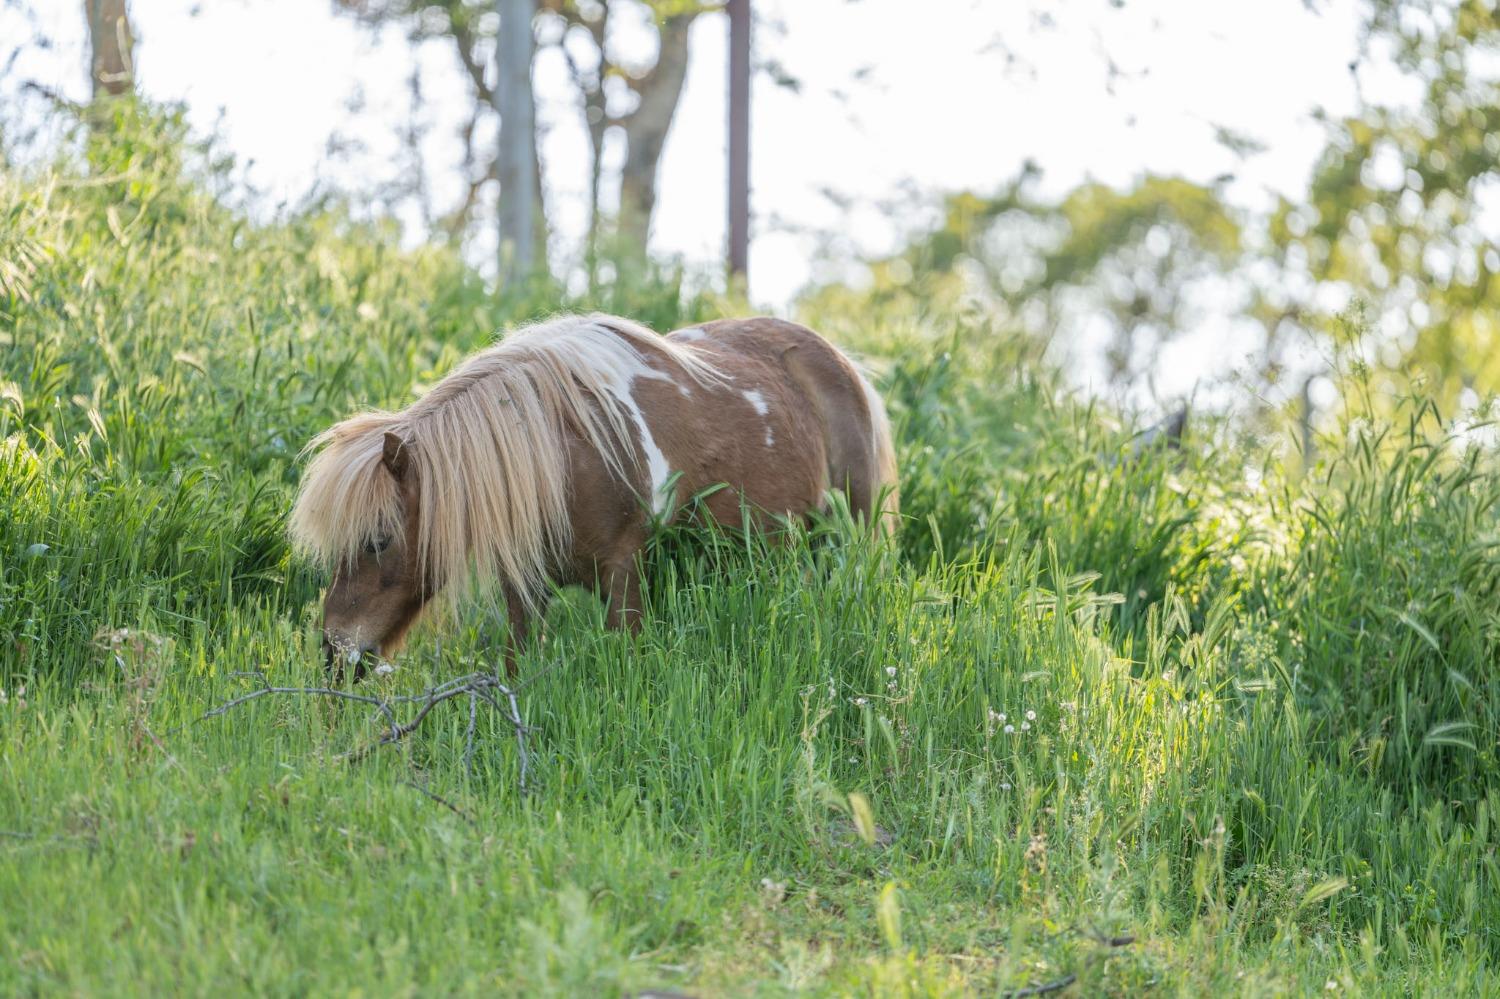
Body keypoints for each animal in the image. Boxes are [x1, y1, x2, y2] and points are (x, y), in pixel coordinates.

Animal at [289, 307, 900, 672]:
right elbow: (518, 662)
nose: (333, 649)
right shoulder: (527, 585)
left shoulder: (625, 575)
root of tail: (840, 362)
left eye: (378, 541)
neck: (568, 457)